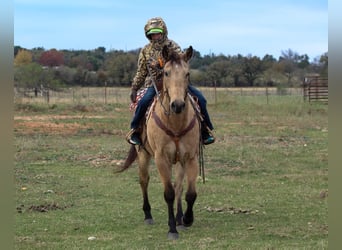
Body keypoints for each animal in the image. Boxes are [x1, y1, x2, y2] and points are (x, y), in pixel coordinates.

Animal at [119, 45, 202, 240]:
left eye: (187, 74)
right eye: (166, 72)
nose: (177, 105)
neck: (176, 124)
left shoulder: (190, 157)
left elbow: (189, 193)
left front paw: (186, 219)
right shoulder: (161, 159)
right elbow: (169, 193)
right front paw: (172, 229)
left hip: (179, 161)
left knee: (179, 186)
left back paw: (179, 218)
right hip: (143, 154)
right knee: (144, 180)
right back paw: (148, 215)